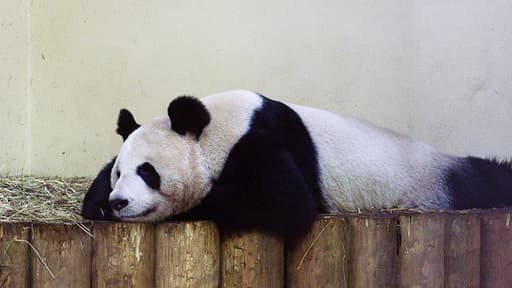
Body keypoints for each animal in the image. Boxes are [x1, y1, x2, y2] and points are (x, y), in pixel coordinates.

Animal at [82, 90, 510, 238]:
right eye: (120, 173)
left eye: (148, 172)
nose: (120, 202)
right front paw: (97, 202)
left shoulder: (260, 142)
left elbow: (286, 204)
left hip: (429, 180)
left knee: (482, 179)